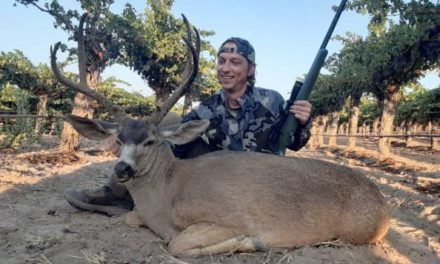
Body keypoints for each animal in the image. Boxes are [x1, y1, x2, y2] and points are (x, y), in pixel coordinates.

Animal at [49, 13, 390, 256]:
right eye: (118, 140)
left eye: (150, 140)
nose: (122, 168)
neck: (168, 193)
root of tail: (384, 206)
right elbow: (130, 218)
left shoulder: (229, 217)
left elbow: (177, 245)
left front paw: (251, 242)